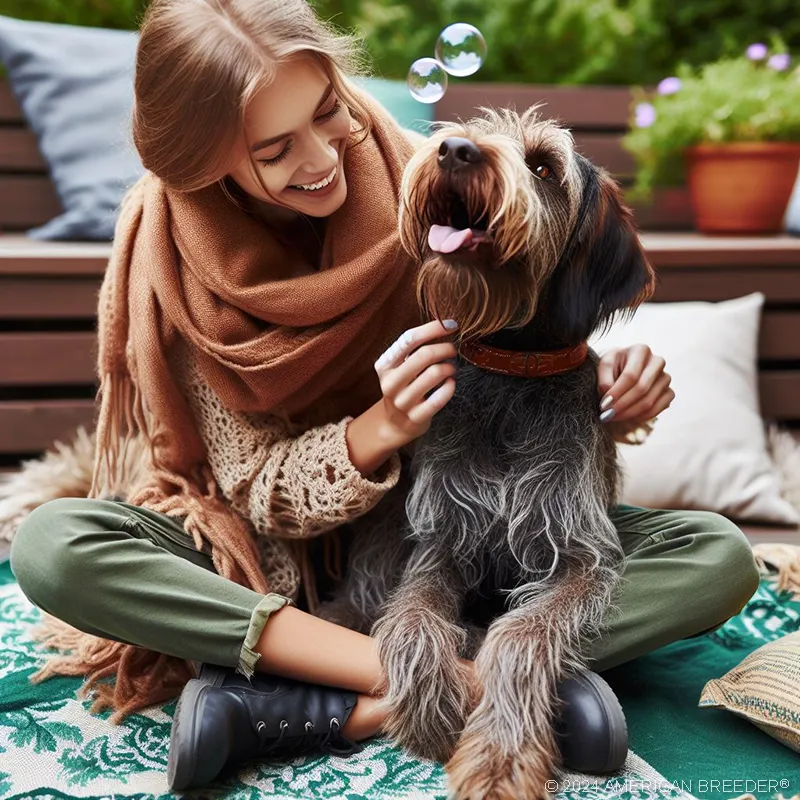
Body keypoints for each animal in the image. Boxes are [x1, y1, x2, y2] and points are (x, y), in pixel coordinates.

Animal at [318, 108, 656, 800]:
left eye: (544, 167)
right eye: (472, 131)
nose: (454, 150)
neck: (512, 375)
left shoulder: (579, 560)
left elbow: (519, 634)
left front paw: (501, 759)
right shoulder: (440, 546)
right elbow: (413, 620)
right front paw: (429, 706)